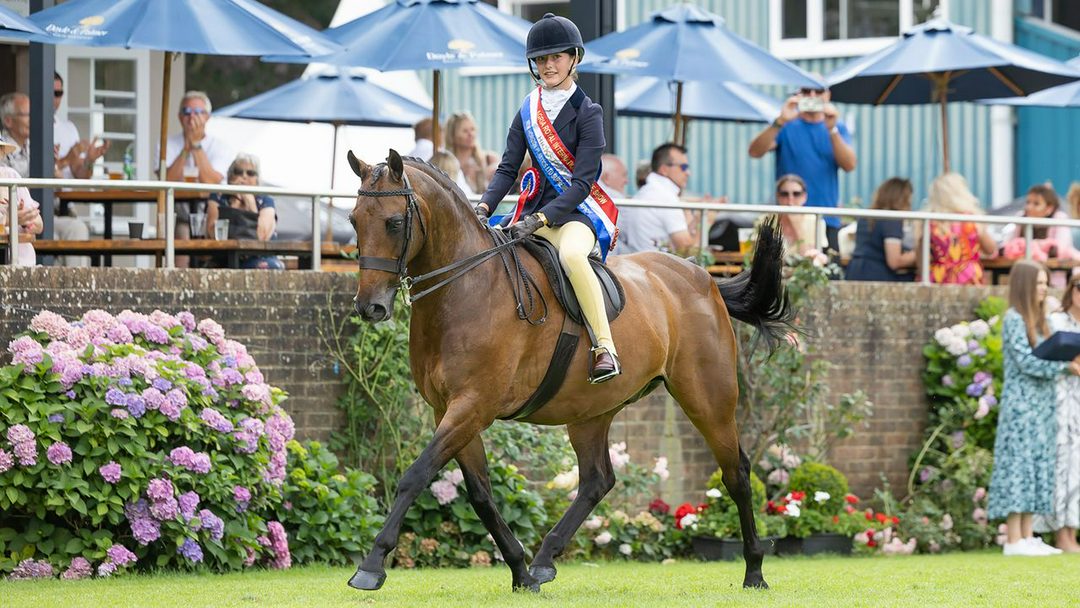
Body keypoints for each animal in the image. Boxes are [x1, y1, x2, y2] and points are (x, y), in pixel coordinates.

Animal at [344, 149, 793, 593]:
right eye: (353, 220)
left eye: (394, 222)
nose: (370, 307)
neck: (466, 287)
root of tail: (703, 277)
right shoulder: (449, 410)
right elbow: (482, 495)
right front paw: (521, 571)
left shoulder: (472, 406)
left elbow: (415, 475)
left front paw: (371, 565)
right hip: (591, 410)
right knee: (597, 479)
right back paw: (544, 560)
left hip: (708, 399)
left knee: (736, 473)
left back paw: (755, 571)